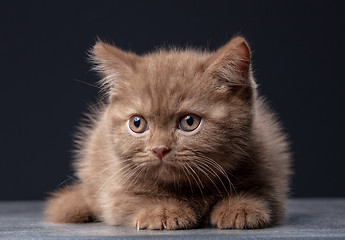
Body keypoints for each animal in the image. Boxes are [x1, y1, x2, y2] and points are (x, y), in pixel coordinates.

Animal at [43, 35, 290, 229]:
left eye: (189, 122)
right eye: (137, 124)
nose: (159, 149)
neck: (189, 188)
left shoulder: (270, 166)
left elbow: (262, 194)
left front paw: (240, 207)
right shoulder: (113, 189)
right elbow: (130, 200)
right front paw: (162, 210)